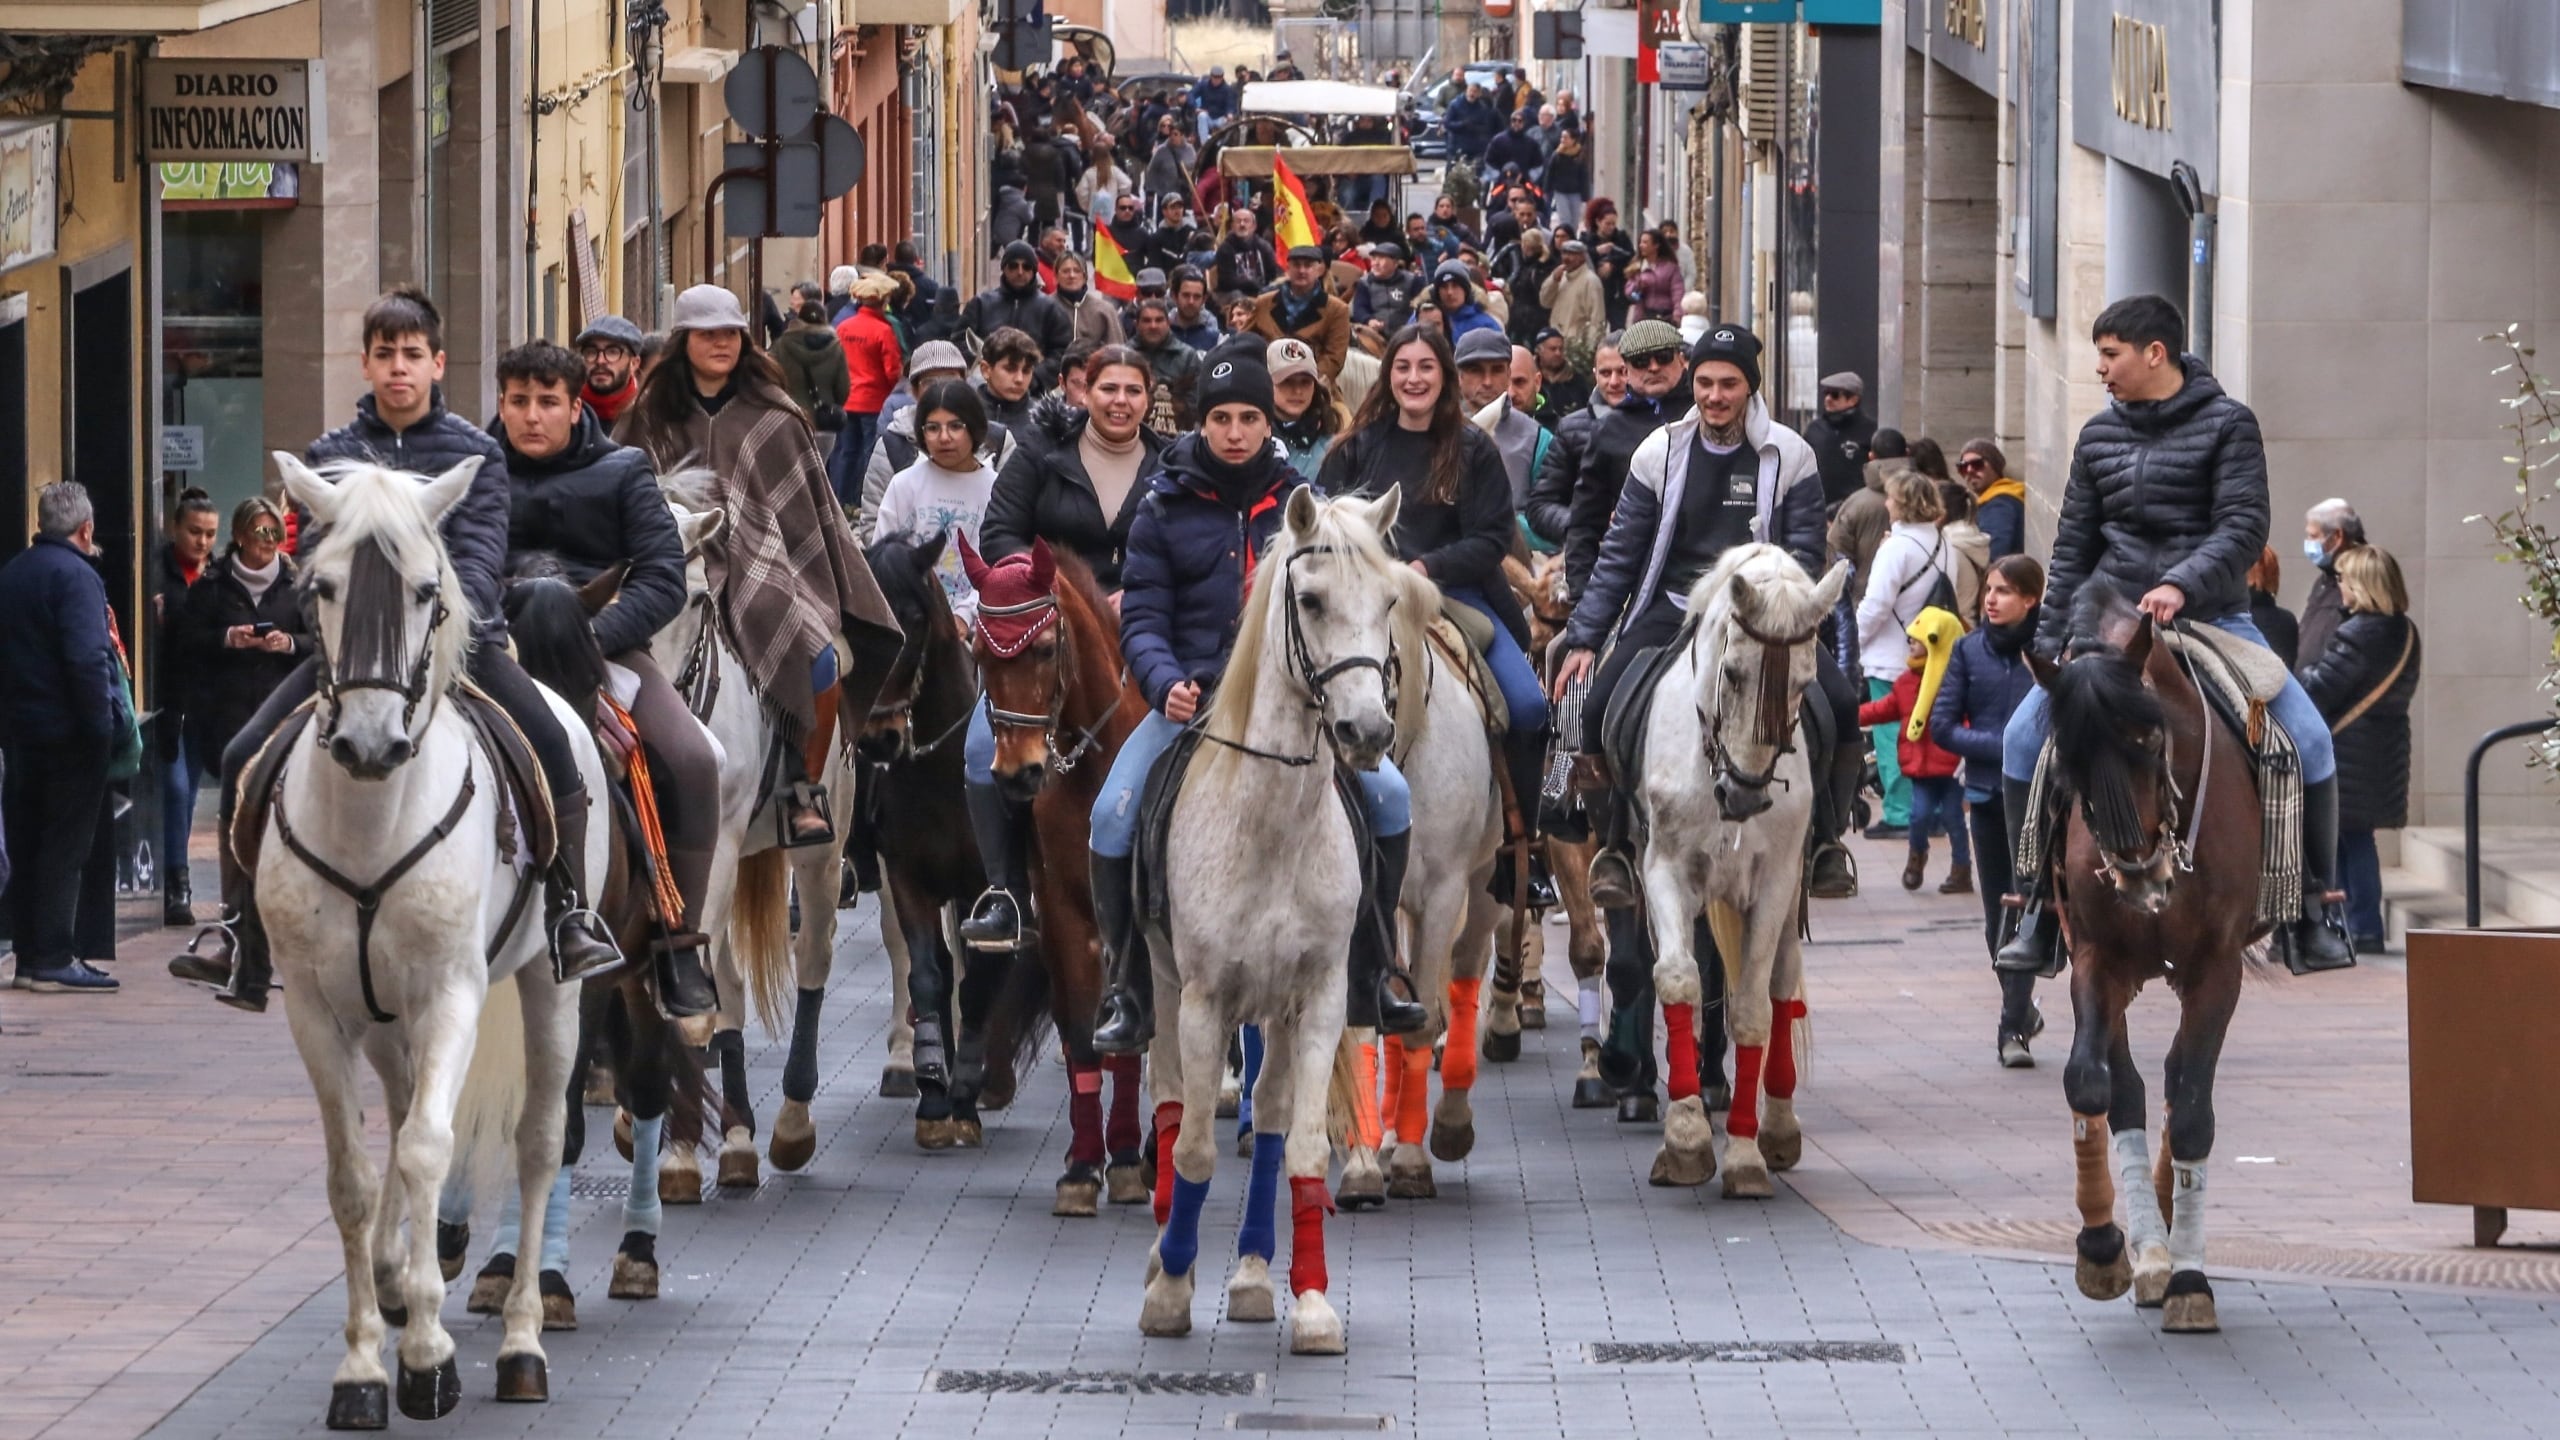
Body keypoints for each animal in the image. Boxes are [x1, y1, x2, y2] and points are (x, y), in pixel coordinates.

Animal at [257, 453, 606, 1414]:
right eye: (321, 587)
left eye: (425, 589)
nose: (371, 743)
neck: (372, 821)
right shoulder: (315, 1009)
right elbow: (354, 1171)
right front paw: (365, 1366)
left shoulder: (453, 993)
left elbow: (427, 1149)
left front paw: (426, 1355)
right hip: (382, 1019)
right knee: (402, 1108)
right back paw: (393, 1275)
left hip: (548, 987)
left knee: (535, 1141)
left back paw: (522, 1339)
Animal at [962, 538, 1157, 1209]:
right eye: (977, 652)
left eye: (1045, 648)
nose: (1018, 773)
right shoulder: (1065, 912)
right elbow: (1080, 1032)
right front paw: (1084, 1165)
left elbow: (1133, 1039)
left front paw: (1127, 1160)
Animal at [1146, 486, 1423, 1352]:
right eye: (1311, 601)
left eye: (1390, 602)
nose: (1367, 733)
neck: (1269, 825)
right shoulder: (1203, 1002)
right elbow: (1194, 1148)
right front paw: (1171, 1289)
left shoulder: (1322, 998)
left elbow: (1299, 1147)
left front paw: (1310, 1303)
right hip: (1164, 990)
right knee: (1172, 1101)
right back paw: (1170, 1256)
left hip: (1274, 1006)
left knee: (1267, 1120)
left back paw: (1251, 1274)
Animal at [1638, 543, 1843, 1194]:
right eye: (1732, 673)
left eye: (1804, 682)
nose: (1746, 796)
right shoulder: (1664, 871)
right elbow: (1679, 979)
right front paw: (1685, 1138)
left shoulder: (1776, 883)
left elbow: (1753, 1006)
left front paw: (1746, 1153)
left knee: (1781, 986)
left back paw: (1777, 1125)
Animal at [2037, 599, 2263, 1332]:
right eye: (2069, 760)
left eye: (2150, 738)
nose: (2138, 875)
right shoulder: (2097, 958)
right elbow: (2094, 1085)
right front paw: (2103, 1248)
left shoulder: (2219, 968)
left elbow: (2192, 1107)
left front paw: (2190, 1277)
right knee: (2137, 1087)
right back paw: (2149, 1247)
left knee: (2177, 1079)